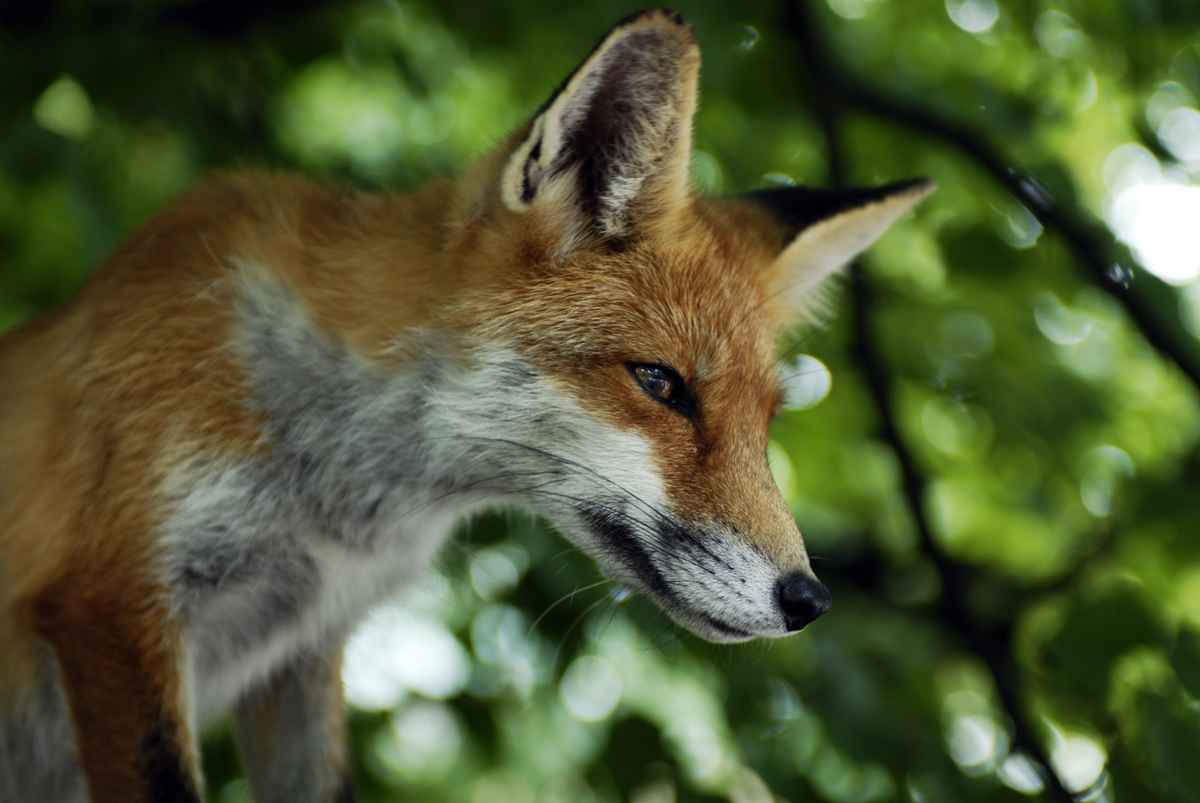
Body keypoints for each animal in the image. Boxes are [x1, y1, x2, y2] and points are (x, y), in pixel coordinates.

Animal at [0, 9, 933, 803]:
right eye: (662, 383)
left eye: (765, 422)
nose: (807, 600)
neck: (336, 506)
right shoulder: (115, 600)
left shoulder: (297, 651)